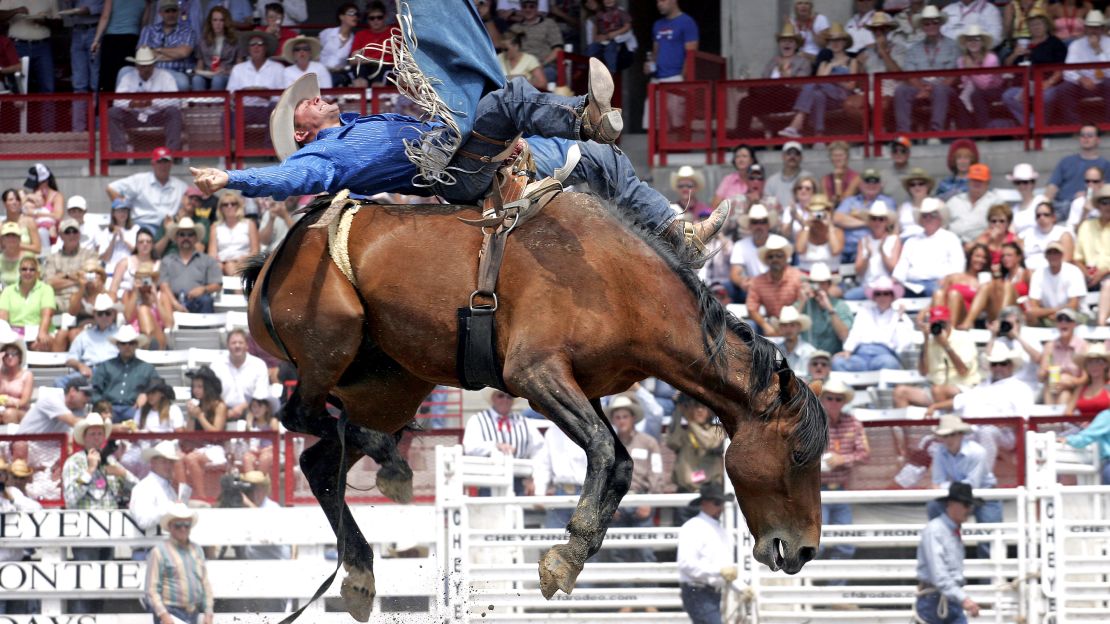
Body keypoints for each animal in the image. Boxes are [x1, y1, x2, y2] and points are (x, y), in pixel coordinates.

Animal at [245, 190, 834, 617]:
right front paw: (564, 556)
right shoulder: (535, 374)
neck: (623, 285)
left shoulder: (586, 387)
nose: (805, 550)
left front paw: (570, 558)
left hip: (391, 385)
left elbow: (619, 463)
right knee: (303, 417)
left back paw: (361, 572)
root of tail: (276, 254)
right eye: (798, 456)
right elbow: (602, 450)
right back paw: (391, 467)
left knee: (320, 460)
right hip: (334, 336)